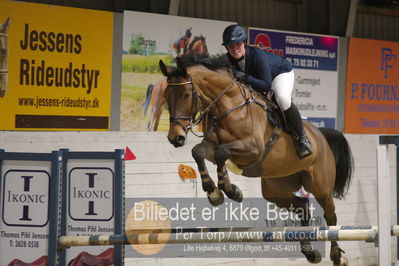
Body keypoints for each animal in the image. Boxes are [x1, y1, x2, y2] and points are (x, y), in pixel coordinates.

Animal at [159, 52, 354, 266]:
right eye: (166, 96)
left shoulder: (254, 149)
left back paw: (337, 256)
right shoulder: (211, 145)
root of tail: (321, 135)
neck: (226, 105)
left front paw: (231, 191)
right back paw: (310, 252)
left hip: (321, 187)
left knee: (330, 216)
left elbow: (221, 152)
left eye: (186, 95)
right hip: (276, 188)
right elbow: (198, 152)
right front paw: (215, 192)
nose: (175, 138)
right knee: (303, 206)